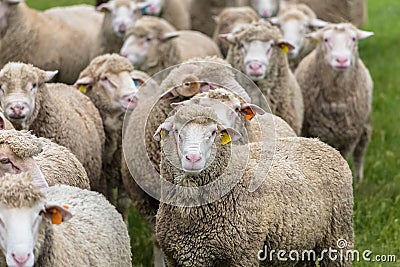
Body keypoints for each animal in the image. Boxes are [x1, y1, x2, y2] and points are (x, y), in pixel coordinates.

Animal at [73, 52, 145, 220]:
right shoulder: (101, 177)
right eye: (104, 78)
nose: (133, 98)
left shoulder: (124, 171)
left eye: (130, 77)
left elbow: (123, 203)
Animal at [153, 104, 354, 267]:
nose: (193, 158)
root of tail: (318, 142)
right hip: (303, 245)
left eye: (212, 133)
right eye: (177, 131)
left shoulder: (242, 256)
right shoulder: (175, 257)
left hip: (338, 237)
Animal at [294, 23, 376, 182]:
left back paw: (358, 179)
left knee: (360, 151)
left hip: (365, 126)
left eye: (353, 38)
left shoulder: (349, 138)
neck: (336, 101)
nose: (341, 60)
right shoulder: (310, 131)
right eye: (326, 39)